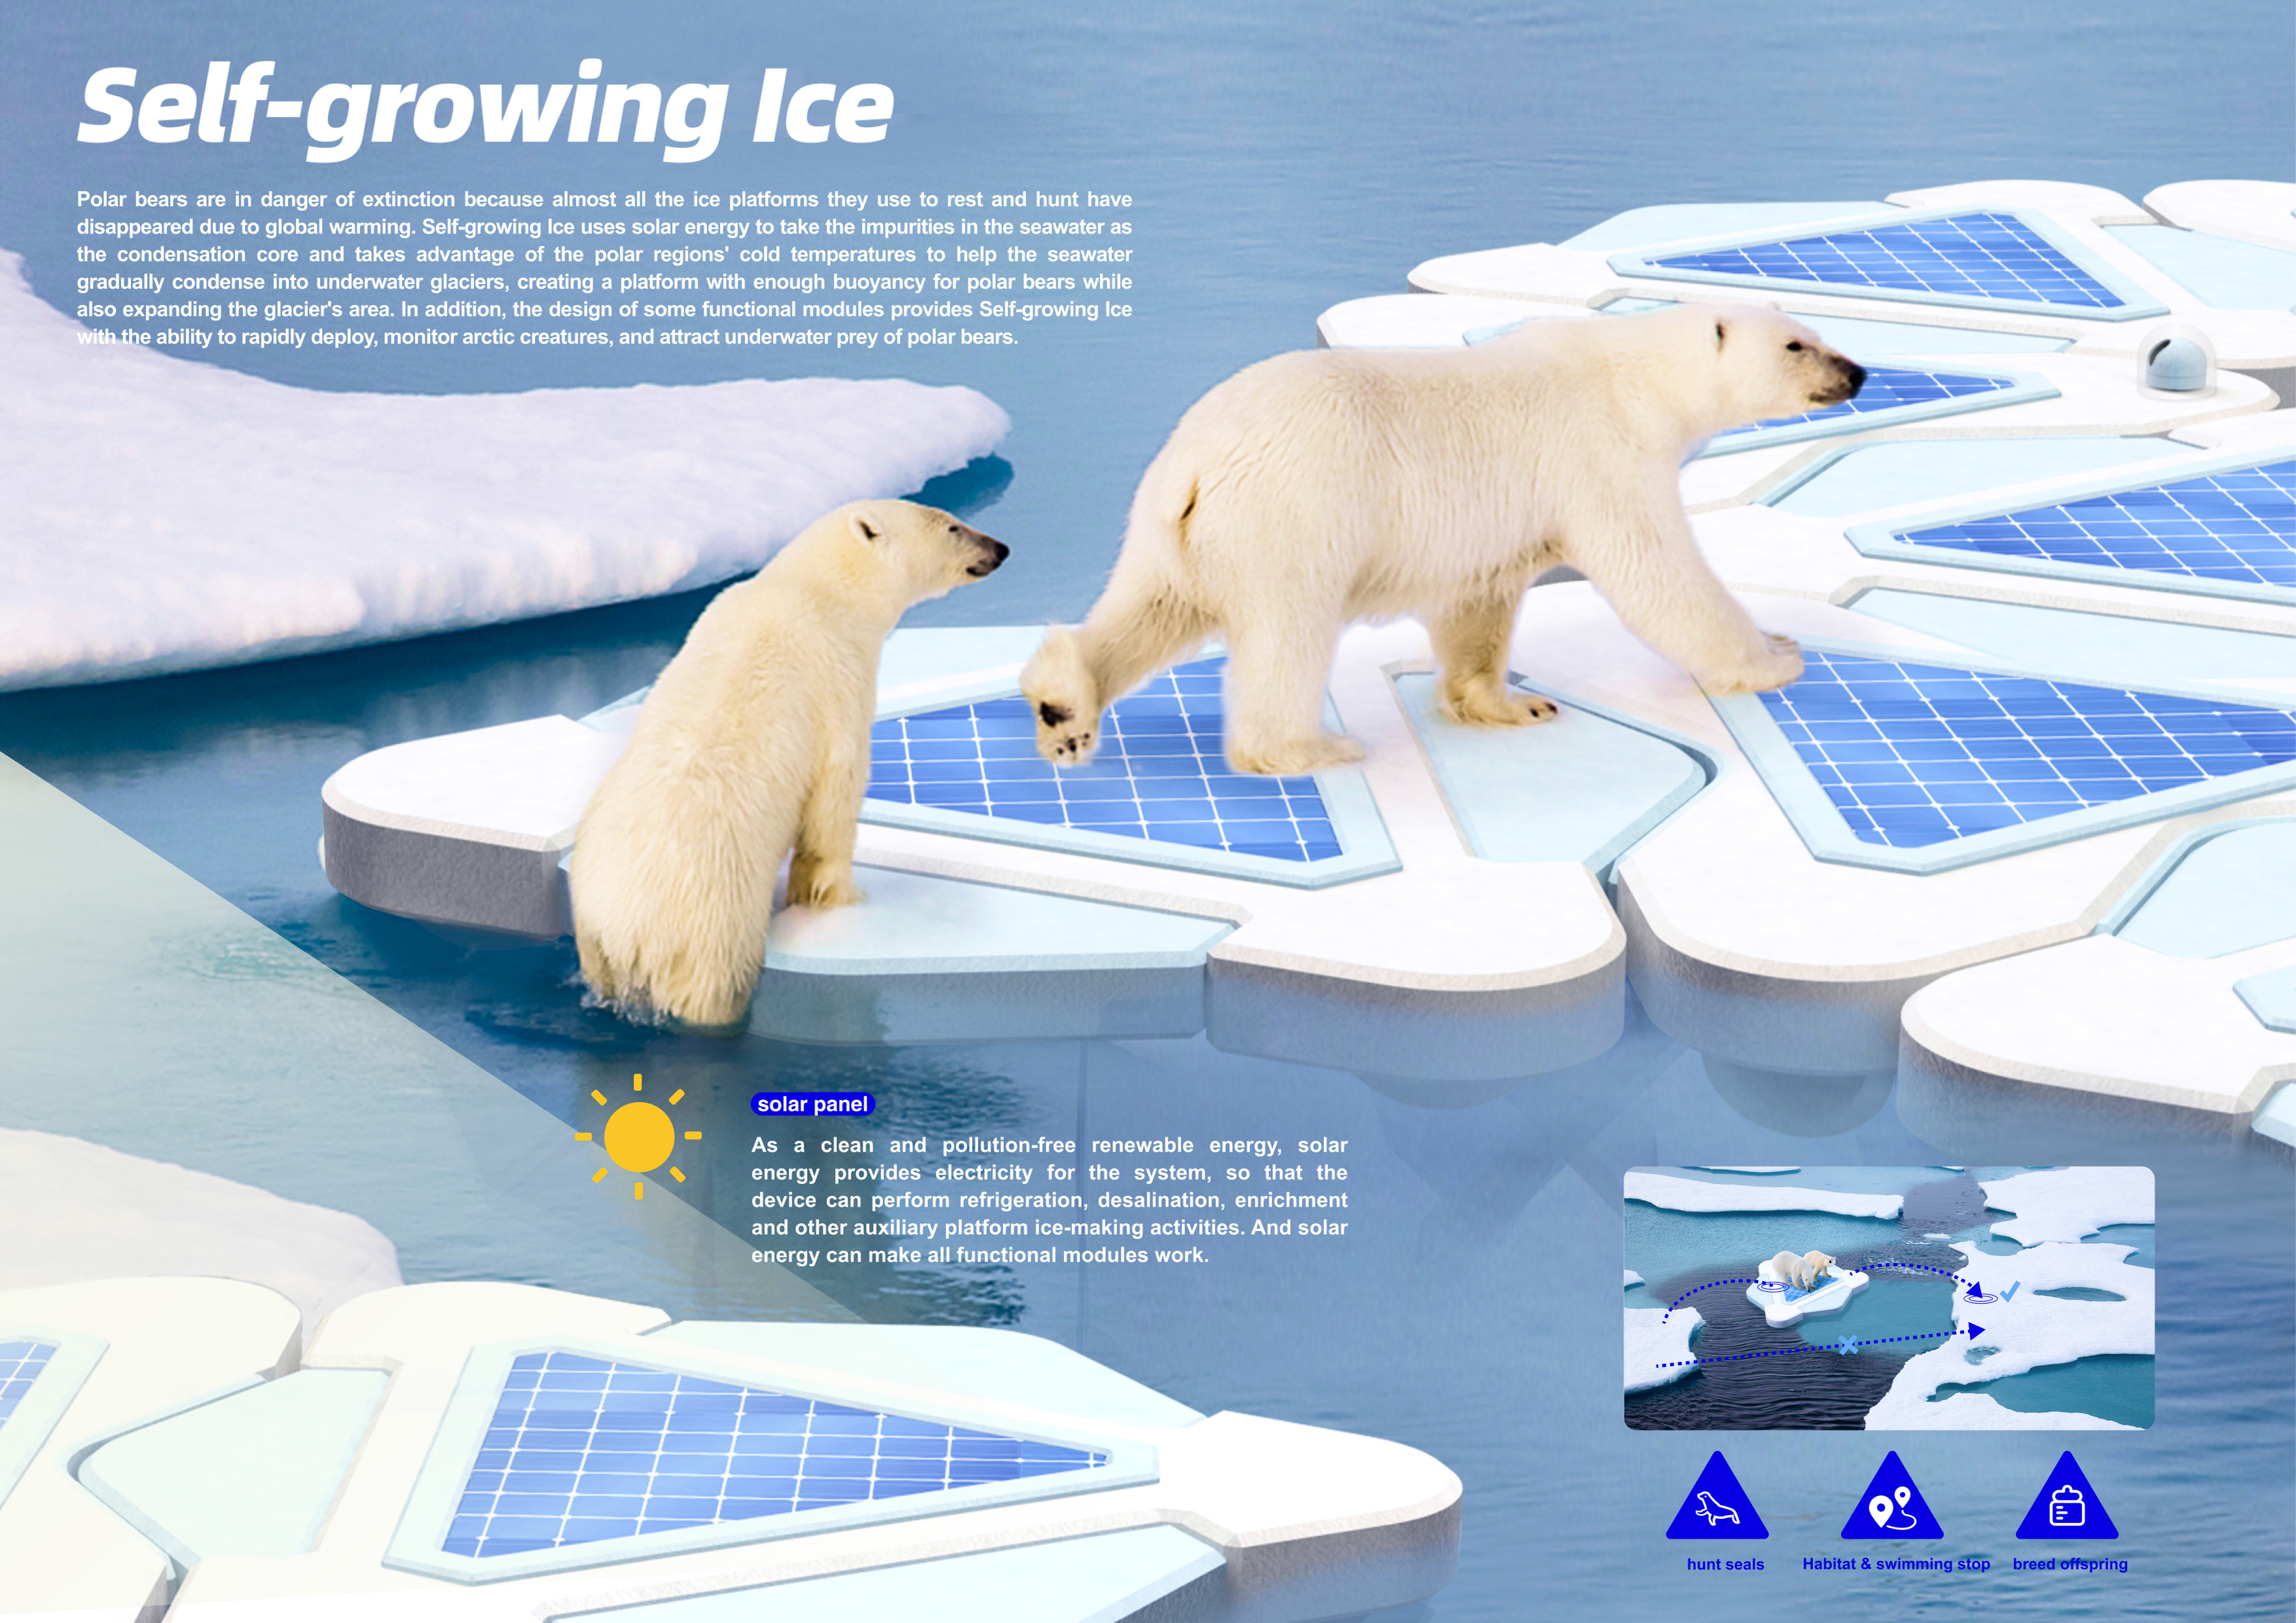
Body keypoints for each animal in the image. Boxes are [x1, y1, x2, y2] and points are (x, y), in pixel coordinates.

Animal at [569, 499, 1007, 1027]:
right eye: (952, 526)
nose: (1001, 549)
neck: (814, 588)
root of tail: (625, 930)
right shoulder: (840, 680)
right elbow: (833, 803)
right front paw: (840, 900)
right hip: (712, 926)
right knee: (715, 990)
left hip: (591, 930)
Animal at [1020, 302, 1863, 774]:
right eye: (1795, 345)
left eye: (1814, 332)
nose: (1856, 372)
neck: (1636, 377)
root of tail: (1193, 459)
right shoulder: (1600, 453)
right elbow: (1656, 570)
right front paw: (1774, 654)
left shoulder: (1495, 527)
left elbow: (1478, 604)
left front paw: (1508, 704)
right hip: (1293, 512)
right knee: (1287, 632)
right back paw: (1306, 749)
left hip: (1178, 532)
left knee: (1150, 609)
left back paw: (1062, 707)